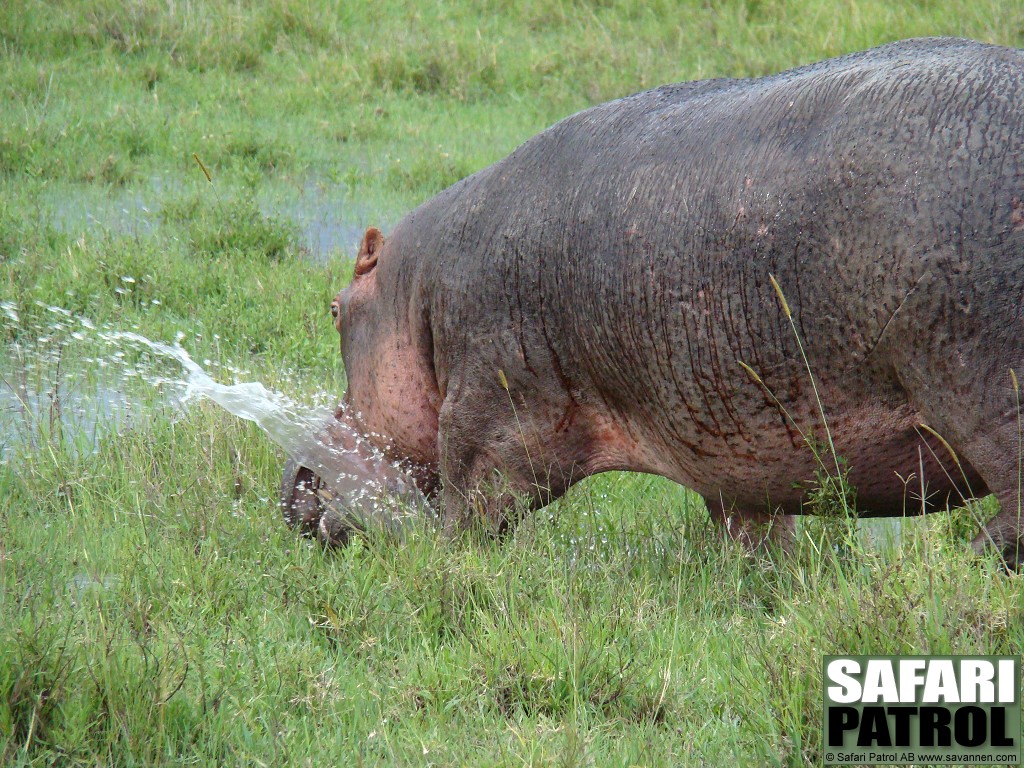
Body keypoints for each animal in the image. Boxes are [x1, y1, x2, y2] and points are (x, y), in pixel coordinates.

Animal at [284, 39, 1024, 569]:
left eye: (334, 309)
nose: (295, 480)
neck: (418, 289)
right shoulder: (739, 459)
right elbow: (753, 538)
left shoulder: (490, 410)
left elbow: (468, 505)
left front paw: (438, 564)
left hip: (976, 386)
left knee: (1011, 512)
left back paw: (958, 568)